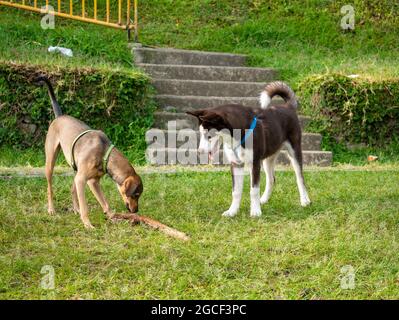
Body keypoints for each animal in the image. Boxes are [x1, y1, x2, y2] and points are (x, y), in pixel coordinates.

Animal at [35, 75, 142, 228]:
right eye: (136, 194)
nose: (136, 211)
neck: (104, 154)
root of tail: (59, 116)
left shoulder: (92, 182)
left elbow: (105, 203)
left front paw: (112, 217)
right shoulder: (83, 180)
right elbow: (85, 206)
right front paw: (87, 224)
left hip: (76, 169)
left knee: (72, 189)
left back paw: (75, 209)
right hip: (51, 162)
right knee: (50, 188)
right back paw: (51, 209)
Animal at [188, 82, 312, 218]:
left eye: (209, 136)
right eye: (201, 134)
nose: (199, 152)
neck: (236, 136)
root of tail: (288, 107)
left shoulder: (255, 163)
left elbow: (254, 190)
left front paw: (255, 212)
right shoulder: (236, 164)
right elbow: (236, 191)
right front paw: (232, 211)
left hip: (294, 151)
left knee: (300, 178)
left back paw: (305, 200)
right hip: (268, 158)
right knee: (271, 179)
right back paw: (264, 199)